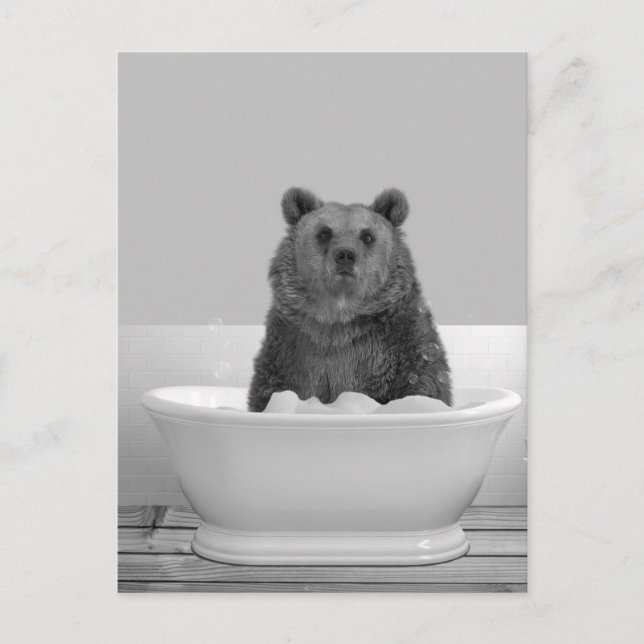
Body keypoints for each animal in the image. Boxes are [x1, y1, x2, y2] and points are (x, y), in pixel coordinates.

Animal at [247, 187, 452, 412]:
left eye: (367, 236)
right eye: (324, 232)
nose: (345, 254)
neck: (339, 319)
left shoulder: (403, 344)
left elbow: (423, 382)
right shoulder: (290, 349)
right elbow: (270, 388)